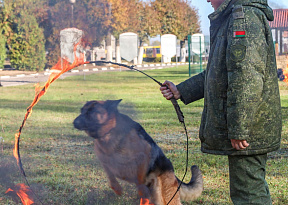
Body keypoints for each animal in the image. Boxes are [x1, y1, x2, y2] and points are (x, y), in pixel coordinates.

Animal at [73, 100, 202, 204]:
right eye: (81, 111)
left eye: (91, 112)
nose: (74, 122)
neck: (110, 132)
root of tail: (173, 174)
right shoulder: (104, 159)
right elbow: (110, 175)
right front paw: (117, 188)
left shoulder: (143, 155)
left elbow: (139, 177)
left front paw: (139, 187)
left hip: (162, 196)